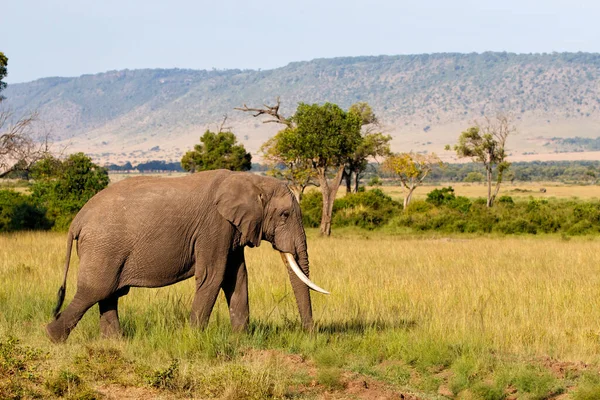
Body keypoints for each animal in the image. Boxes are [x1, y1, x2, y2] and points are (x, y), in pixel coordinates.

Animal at [45, 170, 328, 342]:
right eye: (285, 215)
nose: (310, 334)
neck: (250, 180)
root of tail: (78, 220)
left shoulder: (231, 230)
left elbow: (236, 278)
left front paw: (240, 339)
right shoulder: (214, 226)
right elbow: (213, 277)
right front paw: (195, 338)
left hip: (107, 248)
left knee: (109, 293)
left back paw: (115, 343)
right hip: (103, 246)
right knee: (95, 290)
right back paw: (53, 336)